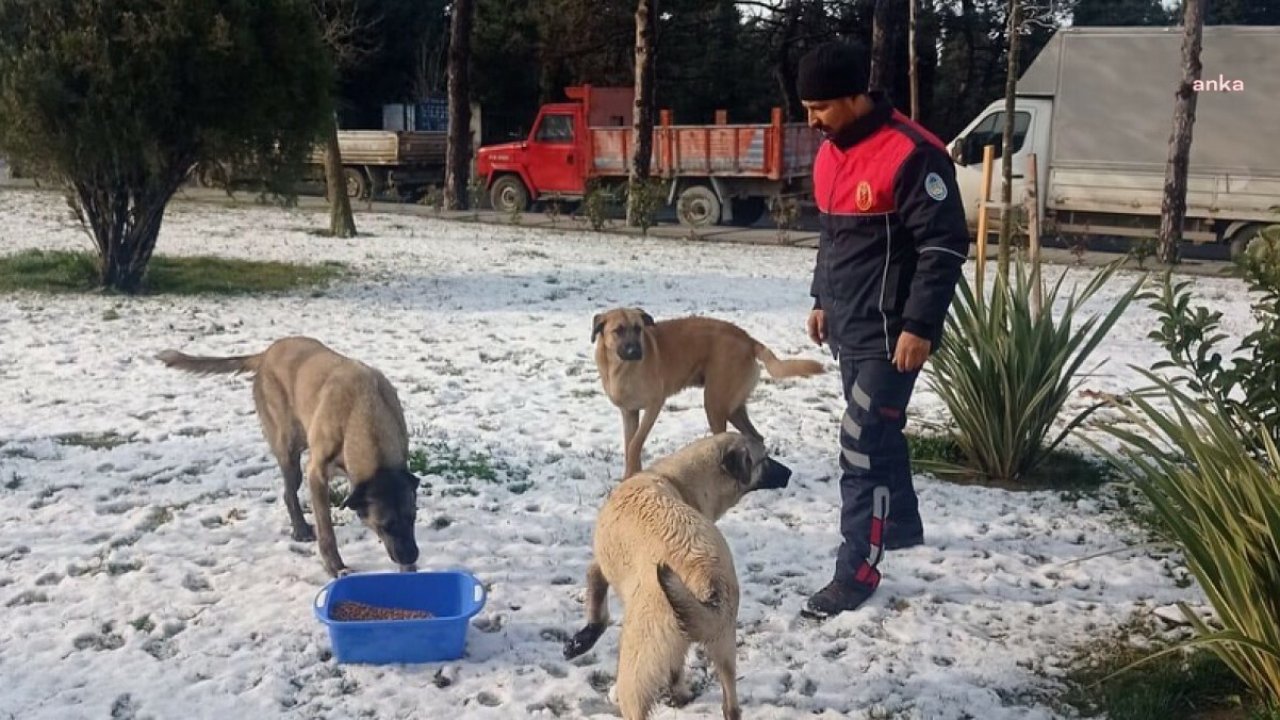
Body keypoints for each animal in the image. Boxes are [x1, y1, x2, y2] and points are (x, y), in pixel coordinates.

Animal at [152, 333, 417, 573]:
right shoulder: (316, 475)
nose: (412, 557)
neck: (365, 413)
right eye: (384, 526)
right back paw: (300, 529)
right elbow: (326, 529)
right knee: (289, 494)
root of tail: (266, 354)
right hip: (290, 454)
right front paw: (335, 566)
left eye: (413, 518)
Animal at [563, 430, 788, 717]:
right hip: (723, 646)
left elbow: (596, 608)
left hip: (636, 664)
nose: (790, 473)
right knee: (731, 707)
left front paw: (579, 643)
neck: (674, 478)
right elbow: (675, 668)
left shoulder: (599, 566)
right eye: (765, 459)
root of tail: (707, 575)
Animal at [588, 303, 819, 476]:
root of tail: (748, 339)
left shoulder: (654, 405)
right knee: (756, 437)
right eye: (618, 331)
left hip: (715, 404)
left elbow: (635, 444)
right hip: (733, 407)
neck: (620, 368)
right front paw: (630, 476)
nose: (635, 351)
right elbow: (629, 445)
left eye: (638, 329)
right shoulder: (629, 412)